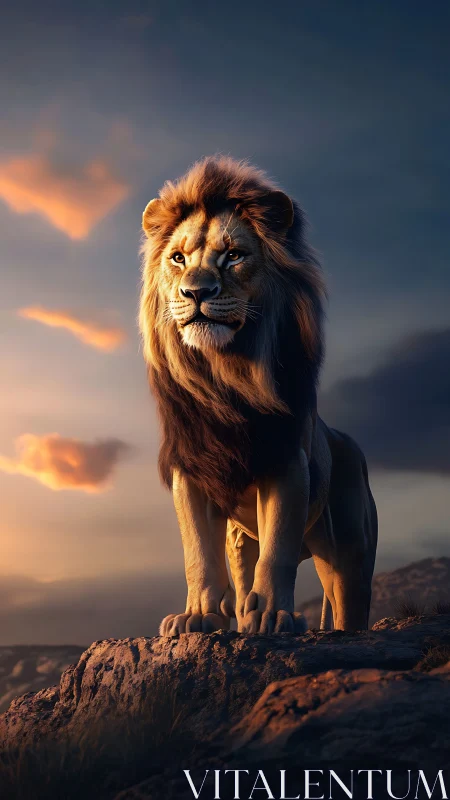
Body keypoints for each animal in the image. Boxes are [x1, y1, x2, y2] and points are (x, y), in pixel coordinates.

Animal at [139, 156, 377, 635]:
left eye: (233, 255)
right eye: (178, 258)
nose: (196, 292)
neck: (227, 378)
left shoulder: (287, 460)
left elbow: (279, 548)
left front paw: (271, 615)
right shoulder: (191, 469)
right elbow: (198, 553)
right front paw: (198, 616)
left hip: (350, 555)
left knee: (348, 604)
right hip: (240, 540)